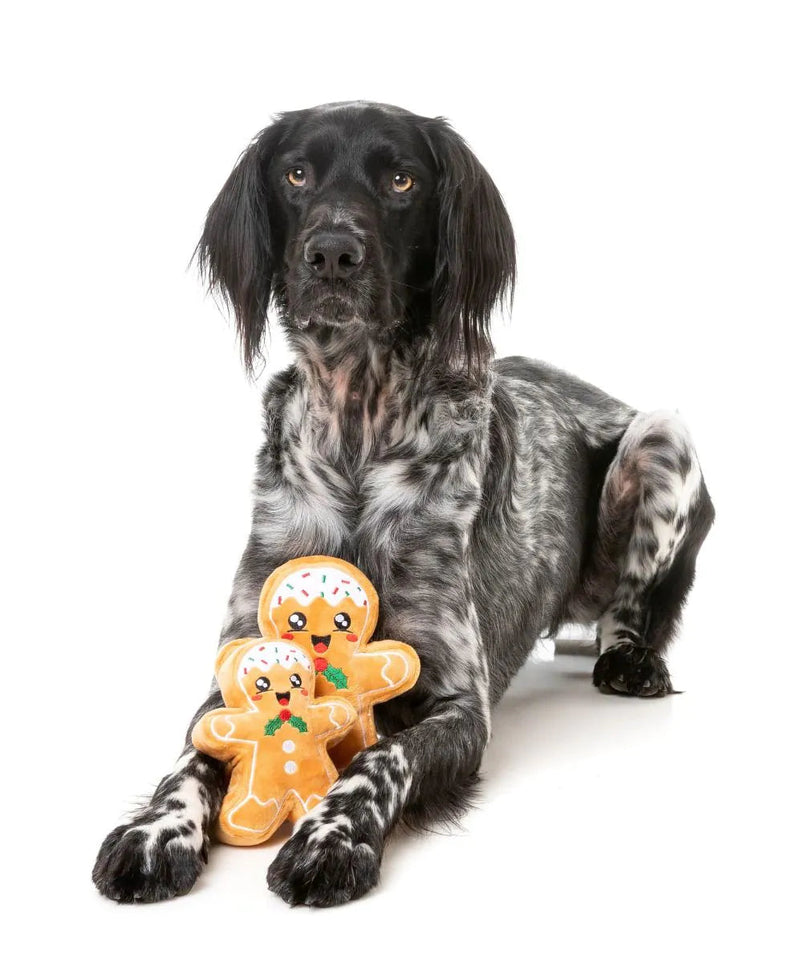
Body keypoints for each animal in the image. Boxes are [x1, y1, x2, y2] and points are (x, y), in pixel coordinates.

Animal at [92, 101, 712, 908]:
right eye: (296, 173)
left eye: (401, 180)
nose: (332, 252)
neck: (358, 428)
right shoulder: (233, 670)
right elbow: (187, 762)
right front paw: (155, 832)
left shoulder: (460, 702)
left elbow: (381, 758)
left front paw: (331, 836)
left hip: (659, 434)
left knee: (632, 607)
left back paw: (629, 658)